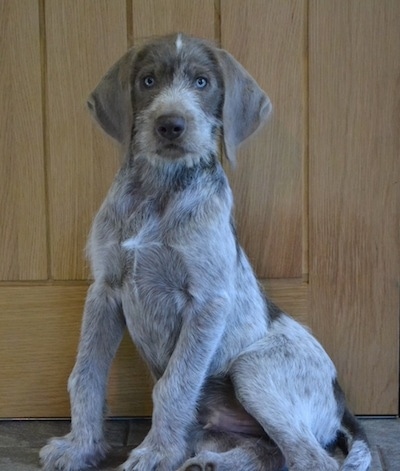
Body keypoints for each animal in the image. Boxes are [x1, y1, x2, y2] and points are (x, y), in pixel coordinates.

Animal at [39, 34, 372, 471]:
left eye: (201, 82)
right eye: (148, 81)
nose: (171, 125)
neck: (159, 189)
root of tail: (341, 400)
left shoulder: (207, 301)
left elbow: (173, 386)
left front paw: (155, 452)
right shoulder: (105, 291)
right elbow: (85, 376)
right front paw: (80, 446)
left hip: (251, 368)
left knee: (313, 459)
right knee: (269, 451)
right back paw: (209, 462)